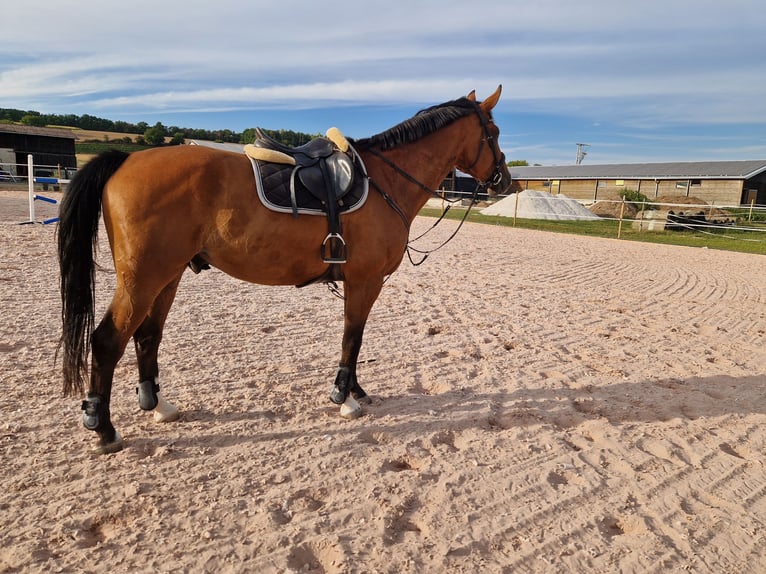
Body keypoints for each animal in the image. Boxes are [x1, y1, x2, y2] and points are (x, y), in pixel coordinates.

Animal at [58, 86, 512, 455]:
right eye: (494, 132)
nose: (504, 180)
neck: (384, 180)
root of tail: (125, 161)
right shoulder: (364, 281)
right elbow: (352, 337)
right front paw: (344, 397)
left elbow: (356, 339)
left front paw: (356, 389)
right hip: (142, 280)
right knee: (108, 341)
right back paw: (103, 428)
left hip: (166, 277)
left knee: (147, 336)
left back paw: (158, 406)